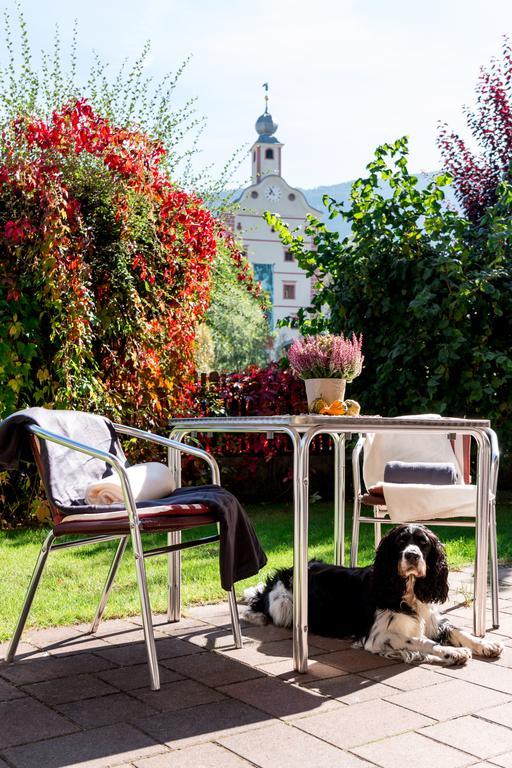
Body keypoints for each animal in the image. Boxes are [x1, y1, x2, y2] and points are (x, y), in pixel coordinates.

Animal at [245, 520, 504, 664]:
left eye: (423, 543)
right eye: (400, 542)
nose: (412, 556)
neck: (405, 590)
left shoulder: (432, 620)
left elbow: (460, 632)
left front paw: (486, 644)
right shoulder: (379, 636)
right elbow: (421, 641)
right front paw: (452, 652)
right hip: (284, 604)